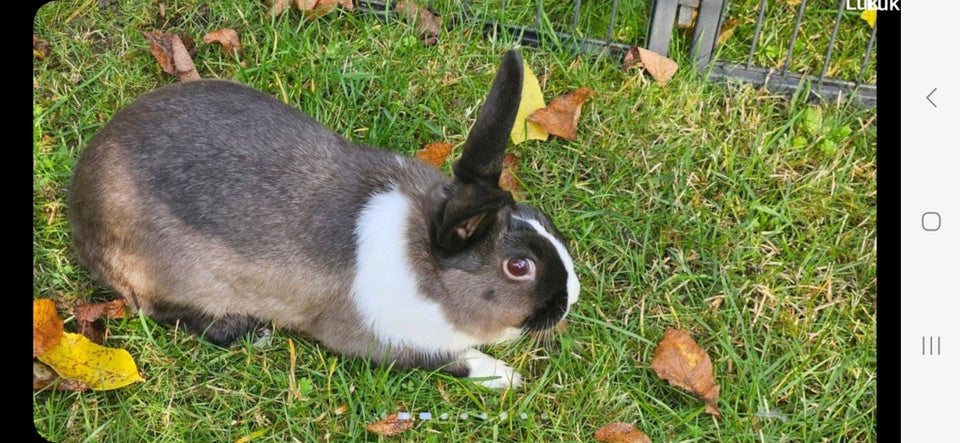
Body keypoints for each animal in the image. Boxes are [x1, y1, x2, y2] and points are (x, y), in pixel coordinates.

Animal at [67, 50, 580, 388]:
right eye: (519, 267)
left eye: (538, 214)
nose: (570, 297)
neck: (426, 260)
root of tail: (80, 208)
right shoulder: (382, 340)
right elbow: (448, 359)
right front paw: (504, 376)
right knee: (161, 311)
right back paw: (249, 333)